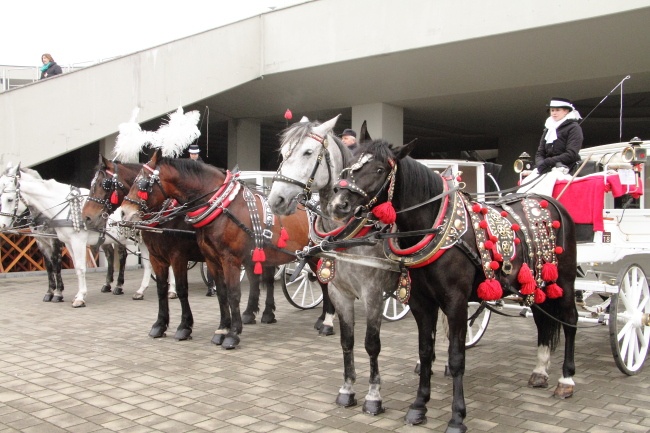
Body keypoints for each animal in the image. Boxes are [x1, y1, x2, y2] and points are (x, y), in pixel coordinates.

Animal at [330, 140, 576, 430]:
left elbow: (456, 357)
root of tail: (550, 202)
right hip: (536, 283)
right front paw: (418, 406)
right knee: (541, 319)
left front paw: (457, 417)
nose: (338, 205)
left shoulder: (456, 302)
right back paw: (539, 370)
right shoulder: (421, 302)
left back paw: (566, 380)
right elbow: (425, 352)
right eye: (350, 165)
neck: (433, 227)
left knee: (570, 321)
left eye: (379, 169)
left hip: (565, 279)